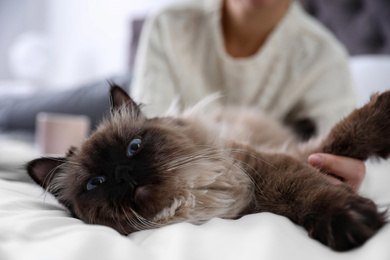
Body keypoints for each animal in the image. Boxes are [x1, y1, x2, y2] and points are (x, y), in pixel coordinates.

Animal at [26, 85, 386, 252]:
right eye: (96, 183)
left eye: (133, 147)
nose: (122, 174)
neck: (192, 196)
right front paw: (350, 225)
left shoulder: (271, 163)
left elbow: (341, 141)